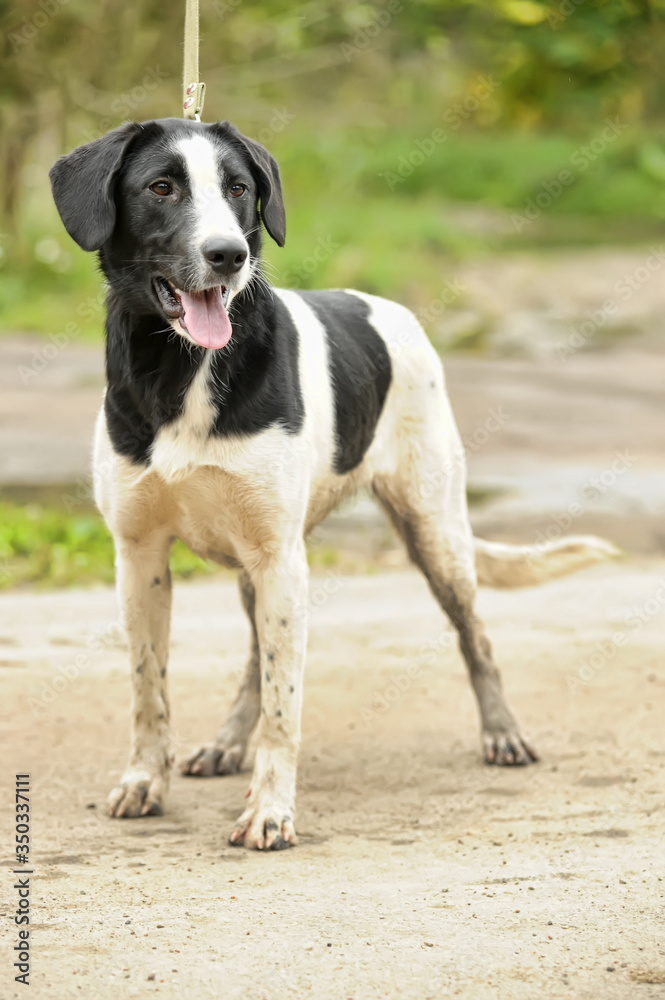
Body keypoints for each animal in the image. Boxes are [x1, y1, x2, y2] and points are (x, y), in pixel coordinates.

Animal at [49, 119, 616, 852]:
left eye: (239, 188)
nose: (229, 255)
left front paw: (270, 810)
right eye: (161, 187)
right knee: (255, 657)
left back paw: (502, 732)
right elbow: (150, 690)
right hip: (263, 566)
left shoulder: (280, 560)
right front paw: (147, 780)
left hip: (432, 533)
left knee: (475, 635)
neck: (186, 366)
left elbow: (285, 705)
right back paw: (227, 742)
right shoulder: (139, 554)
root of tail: (386, 306)